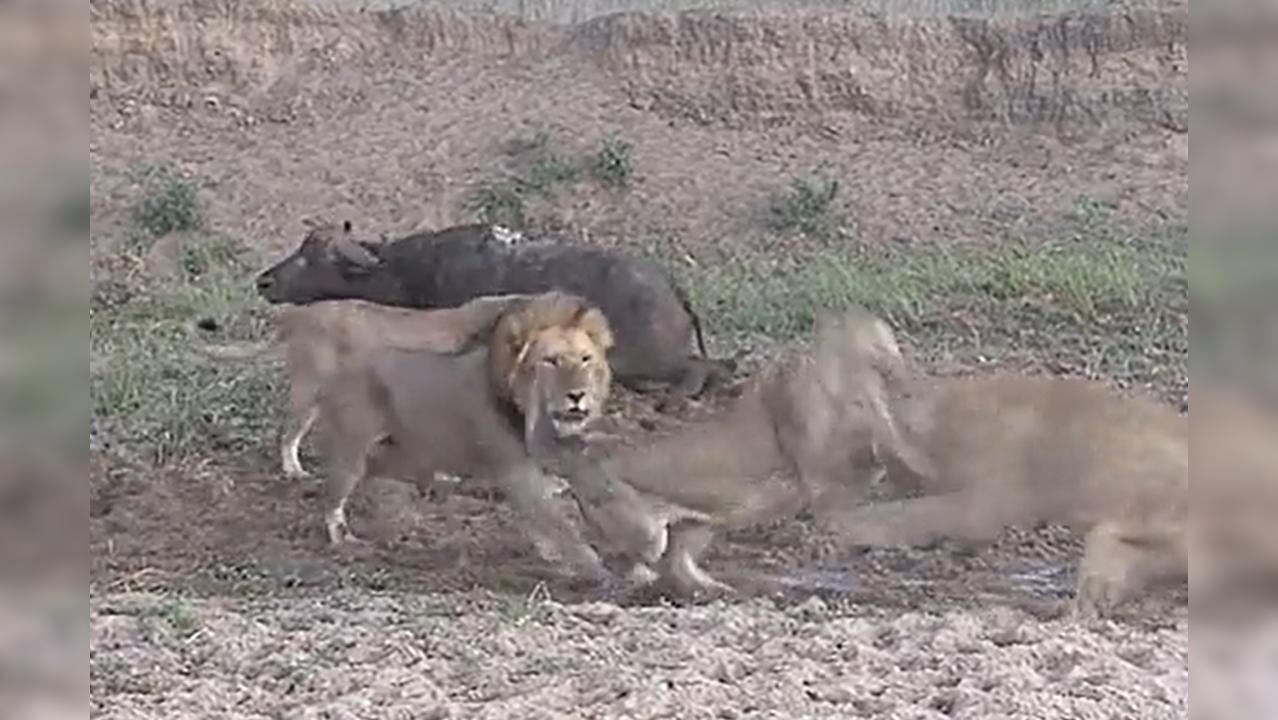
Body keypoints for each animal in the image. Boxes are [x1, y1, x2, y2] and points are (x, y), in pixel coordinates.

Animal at [316, 290, 621, 588]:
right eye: (551, 361)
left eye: (585, 359)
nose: (578, 395)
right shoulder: (517, 474)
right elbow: (561, 526)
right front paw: (597, 570)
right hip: (352, 449)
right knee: (333, 497)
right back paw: (344, 540)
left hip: (403, 453)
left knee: (373, 473)